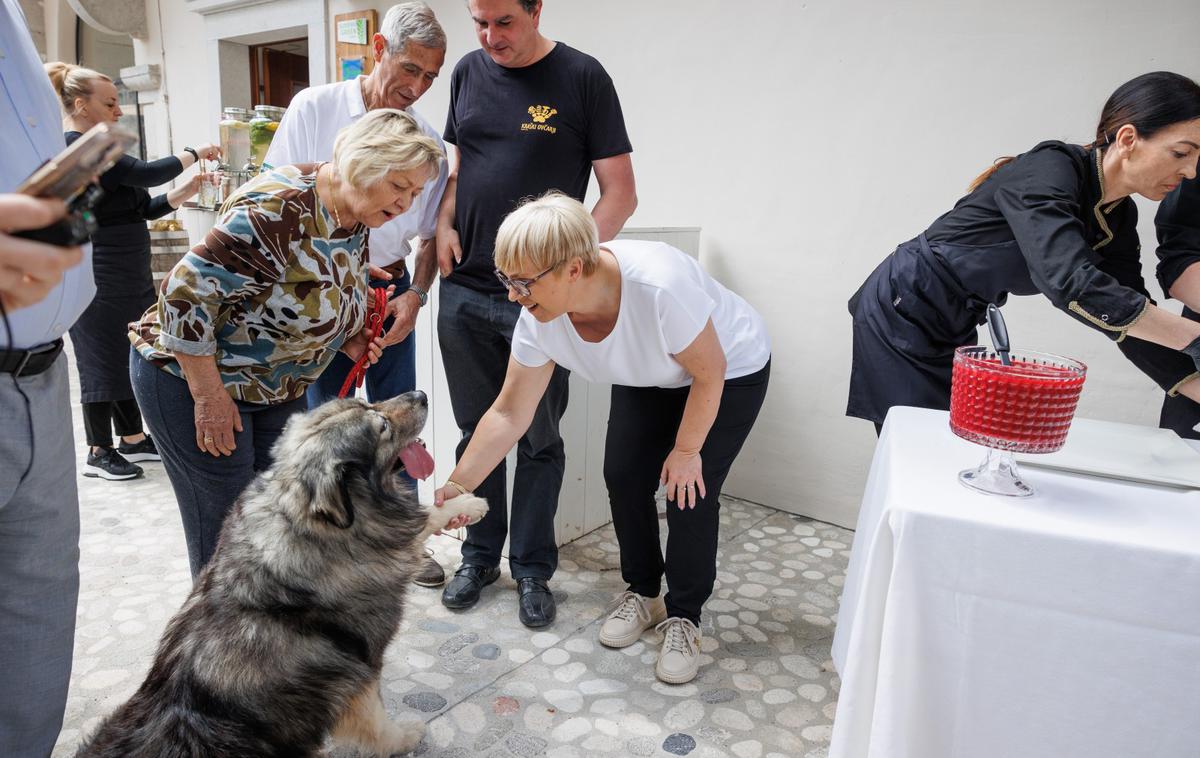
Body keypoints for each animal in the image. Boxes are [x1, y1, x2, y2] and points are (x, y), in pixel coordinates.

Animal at [76, 390, 487, 758]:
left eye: (367, 401)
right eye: (381, 426)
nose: (420, 394)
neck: (304, 523)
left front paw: (462, 502)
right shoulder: (358, 672)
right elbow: (376, 722)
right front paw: (403, 738)